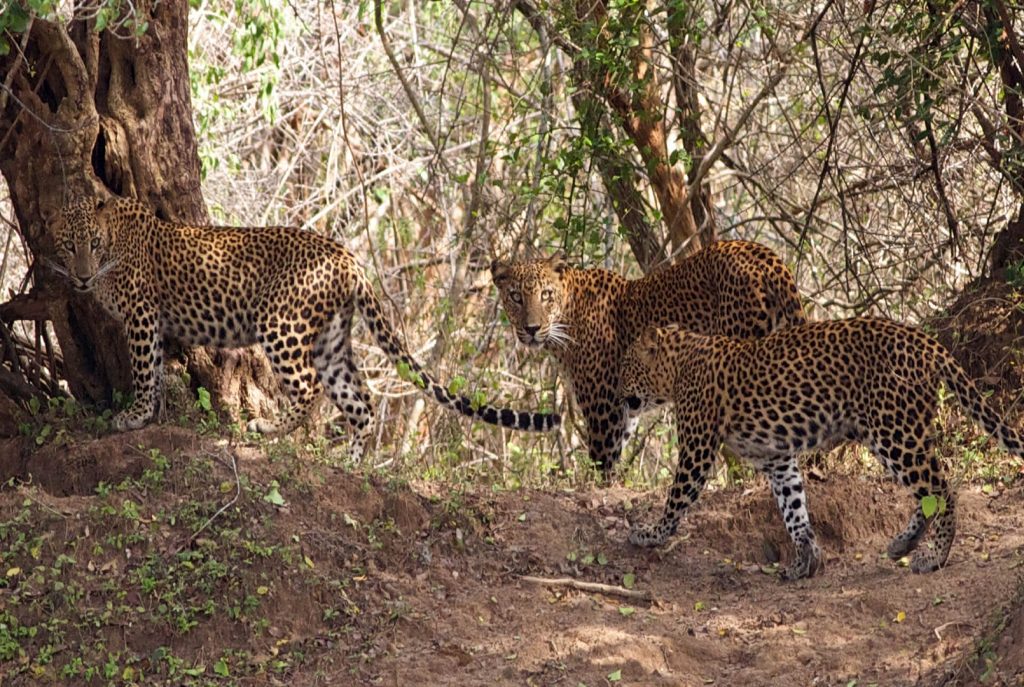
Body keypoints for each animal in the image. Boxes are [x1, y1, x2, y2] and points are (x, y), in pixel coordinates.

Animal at [51, 196, 561, 450]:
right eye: (68, 244)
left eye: (92, 244)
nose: (81, 277)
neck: (115, 238)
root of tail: (350, 258)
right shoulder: (149, 320)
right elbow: (153, 369)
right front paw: (150, 413)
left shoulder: (140, 315)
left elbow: (143, 369)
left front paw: (134, 416)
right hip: (331, 340)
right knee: (361, 403)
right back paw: (354, 467)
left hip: (282, 324)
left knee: (309, 386)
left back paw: (266, 428)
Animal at [489, 241, 806, 479]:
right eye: (515, 297)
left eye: (545, 295)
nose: (531, 328)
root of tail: (766, 256)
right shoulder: (624, 405)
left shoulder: (602, 404)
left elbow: (602, 459)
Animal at [614, 317, 1024, 581]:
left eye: (627, 366)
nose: (616, 393)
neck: (678, 366)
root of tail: (926, 341)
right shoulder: (777, 459)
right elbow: (794, 509)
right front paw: (805, 561)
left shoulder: (697, 449)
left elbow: (675, 500)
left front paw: (650, 534)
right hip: (887, 434)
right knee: (926, 492)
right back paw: (902, 545)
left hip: (895, 432)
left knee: (942, 489)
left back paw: (934, 555)